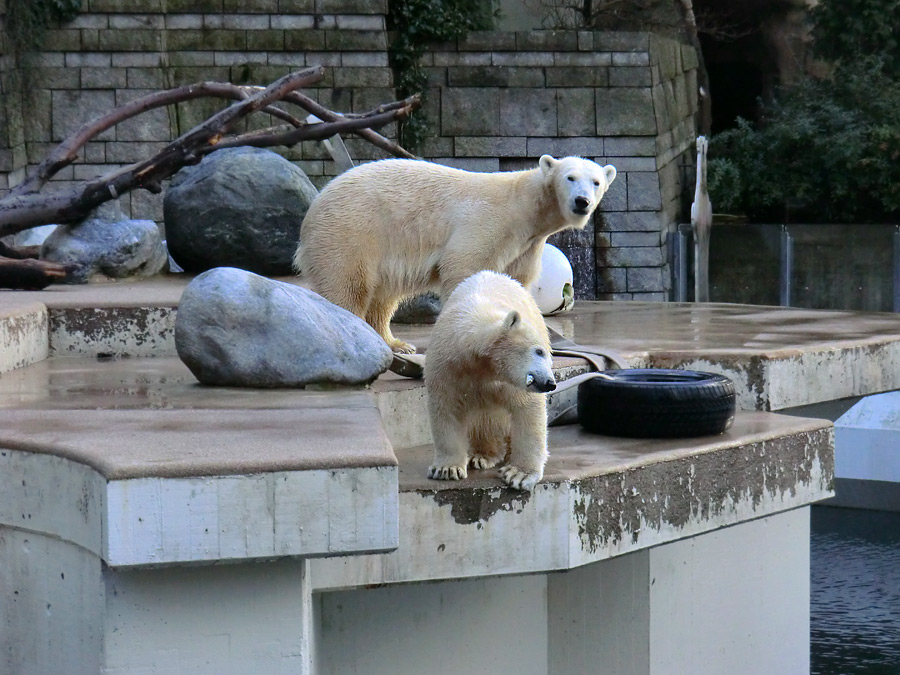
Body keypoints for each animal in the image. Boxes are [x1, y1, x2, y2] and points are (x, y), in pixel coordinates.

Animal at [298, 154, 616, 354]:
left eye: (596, 182)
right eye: (570, 177)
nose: (582, 201)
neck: (524, 208)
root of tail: (315, 205)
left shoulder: (526, 246)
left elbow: (514, 283)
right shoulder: (488, 222)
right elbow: (465, 268)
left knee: (383, 296)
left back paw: (396, 344)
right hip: (352, 230)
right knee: (348, 286)